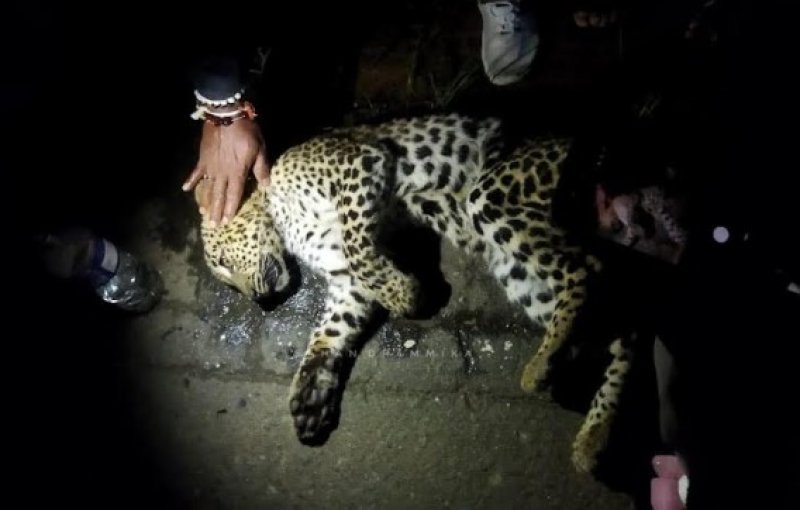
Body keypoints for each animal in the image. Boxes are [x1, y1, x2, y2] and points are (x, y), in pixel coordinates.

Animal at [196, 113, 633, 473]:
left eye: (221, 260)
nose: (261, 303)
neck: (284, 221)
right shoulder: (347, 282)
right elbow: (331, 332)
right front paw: (310, 398)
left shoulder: (360, 164)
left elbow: (360, 247)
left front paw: (407, 294)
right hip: (521, 273)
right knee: (618, 324)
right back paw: (592, 436)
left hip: (496, 197)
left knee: (585, 271)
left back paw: (541, 367)